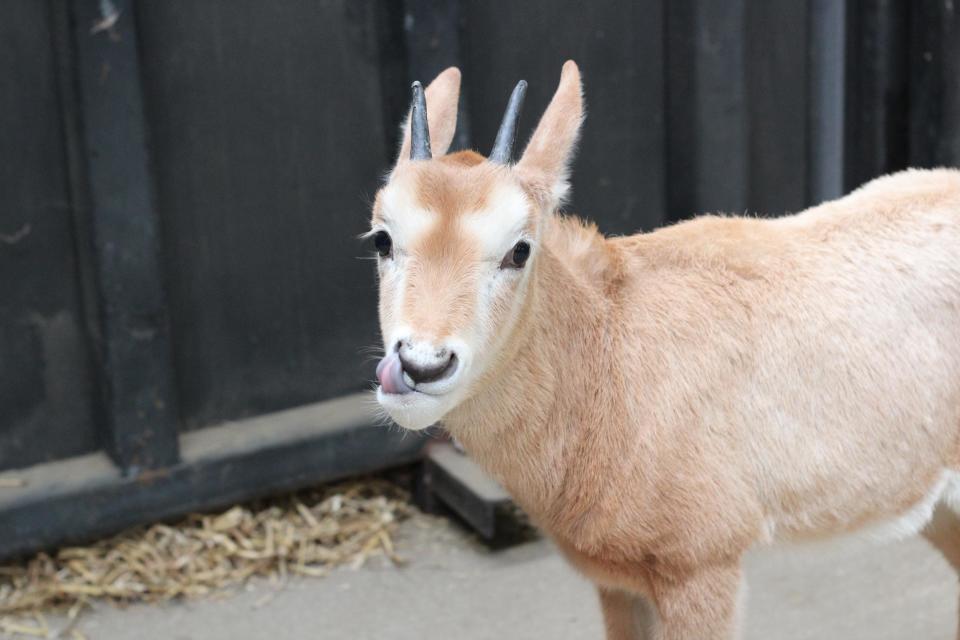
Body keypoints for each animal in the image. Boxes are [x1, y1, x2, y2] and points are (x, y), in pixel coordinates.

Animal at [368, 58, 960, 636]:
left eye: (519, 249)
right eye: (382, 238)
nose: (421, 365)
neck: (610, 353)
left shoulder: (702, 570)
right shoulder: (617, 583)